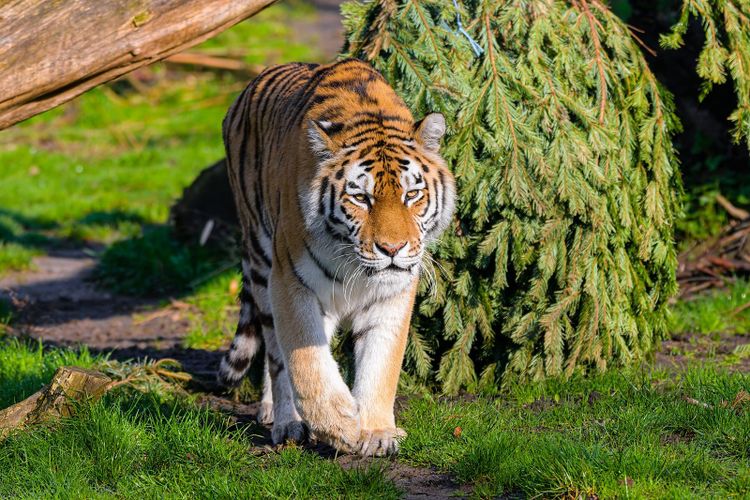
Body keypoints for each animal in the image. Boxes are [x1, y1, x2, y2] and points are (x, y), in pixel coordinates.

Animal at [217, 58, 456, 456]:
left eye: (412, 195)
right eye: (361, 198)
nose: (392, 249)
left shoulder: (393, 294)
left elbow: (381, 364)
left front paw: (376, 431)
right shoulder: (291, 281)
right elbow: (305, 360)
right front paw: (339, 424)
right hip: (261, 260)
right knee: (276, 357)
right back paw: (284, 420)